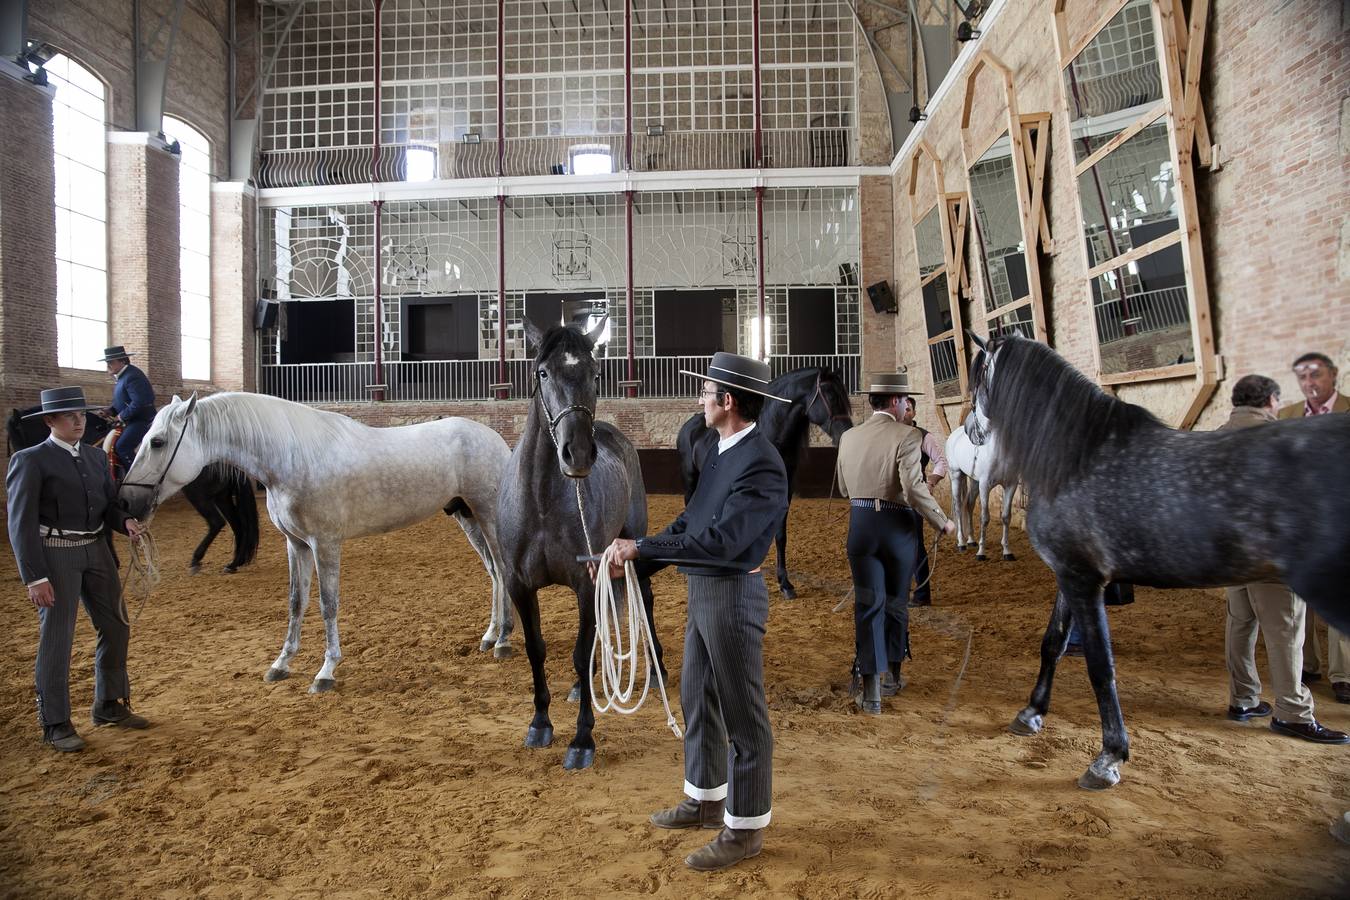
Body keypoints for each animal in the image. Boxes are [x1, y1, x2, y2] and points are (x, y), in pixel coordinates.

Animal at [117, 391, 510, 696]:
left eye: (157, 441)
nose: (125, 502)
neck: (293, 457)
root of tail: (496, 440)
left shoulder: (326, 544)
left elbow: (327, 605)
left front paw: (326, 672)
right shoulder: (297, 545)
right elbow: (296, 603)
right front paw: (280, 664)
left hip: (487, 516)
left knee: (504, 571)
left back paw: (504, 642)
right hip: (466, 517)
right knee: (494, 574)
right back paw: (490, 636)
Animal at [496, 319, 664, 771]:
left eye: (595, 373)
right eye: (543, 373)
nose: (579, 454)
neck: (541, 502)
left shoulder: (587, 581)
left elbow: (579, 648)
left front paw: (582, 740)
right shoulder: (519, 585)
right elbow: (536, 649)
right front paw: (540, 724)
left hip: (631, 549)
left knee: (643, 598)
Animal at [945, 418, 1015, 558]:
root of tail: (954, 434)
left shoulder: (1010, 486)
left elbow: (1006, 517)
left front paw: (1007, 551)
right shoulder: (985, 486)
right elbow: (985, 518)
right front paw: (981, 552)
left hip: (974, 482)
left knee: (969, 505)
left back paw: (971, 540)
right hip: (956, 475)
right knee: (958, 507)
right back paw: (961, 543)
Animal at [966, 334, 1350, 793]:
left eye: (976, 379)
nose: (969, 430)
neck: (1076, 456)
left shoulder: (1082, 580)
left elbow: (1100, 666)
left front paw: (1108, 758)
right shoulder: (1069, 575)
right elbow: (1053, 642)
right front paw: (1031, 713)